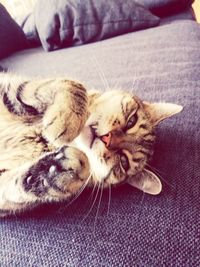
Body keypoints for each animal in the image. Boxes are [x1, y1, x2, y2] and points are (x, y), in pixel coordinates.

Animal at [0, 71, 183, 218]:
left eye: (123, 161)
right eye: (132, 121)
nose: (106, 138)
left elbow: (19, 188)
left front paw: (61, 172)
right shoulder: (9, 86)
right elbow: (69, 84)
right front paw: (66, 119)